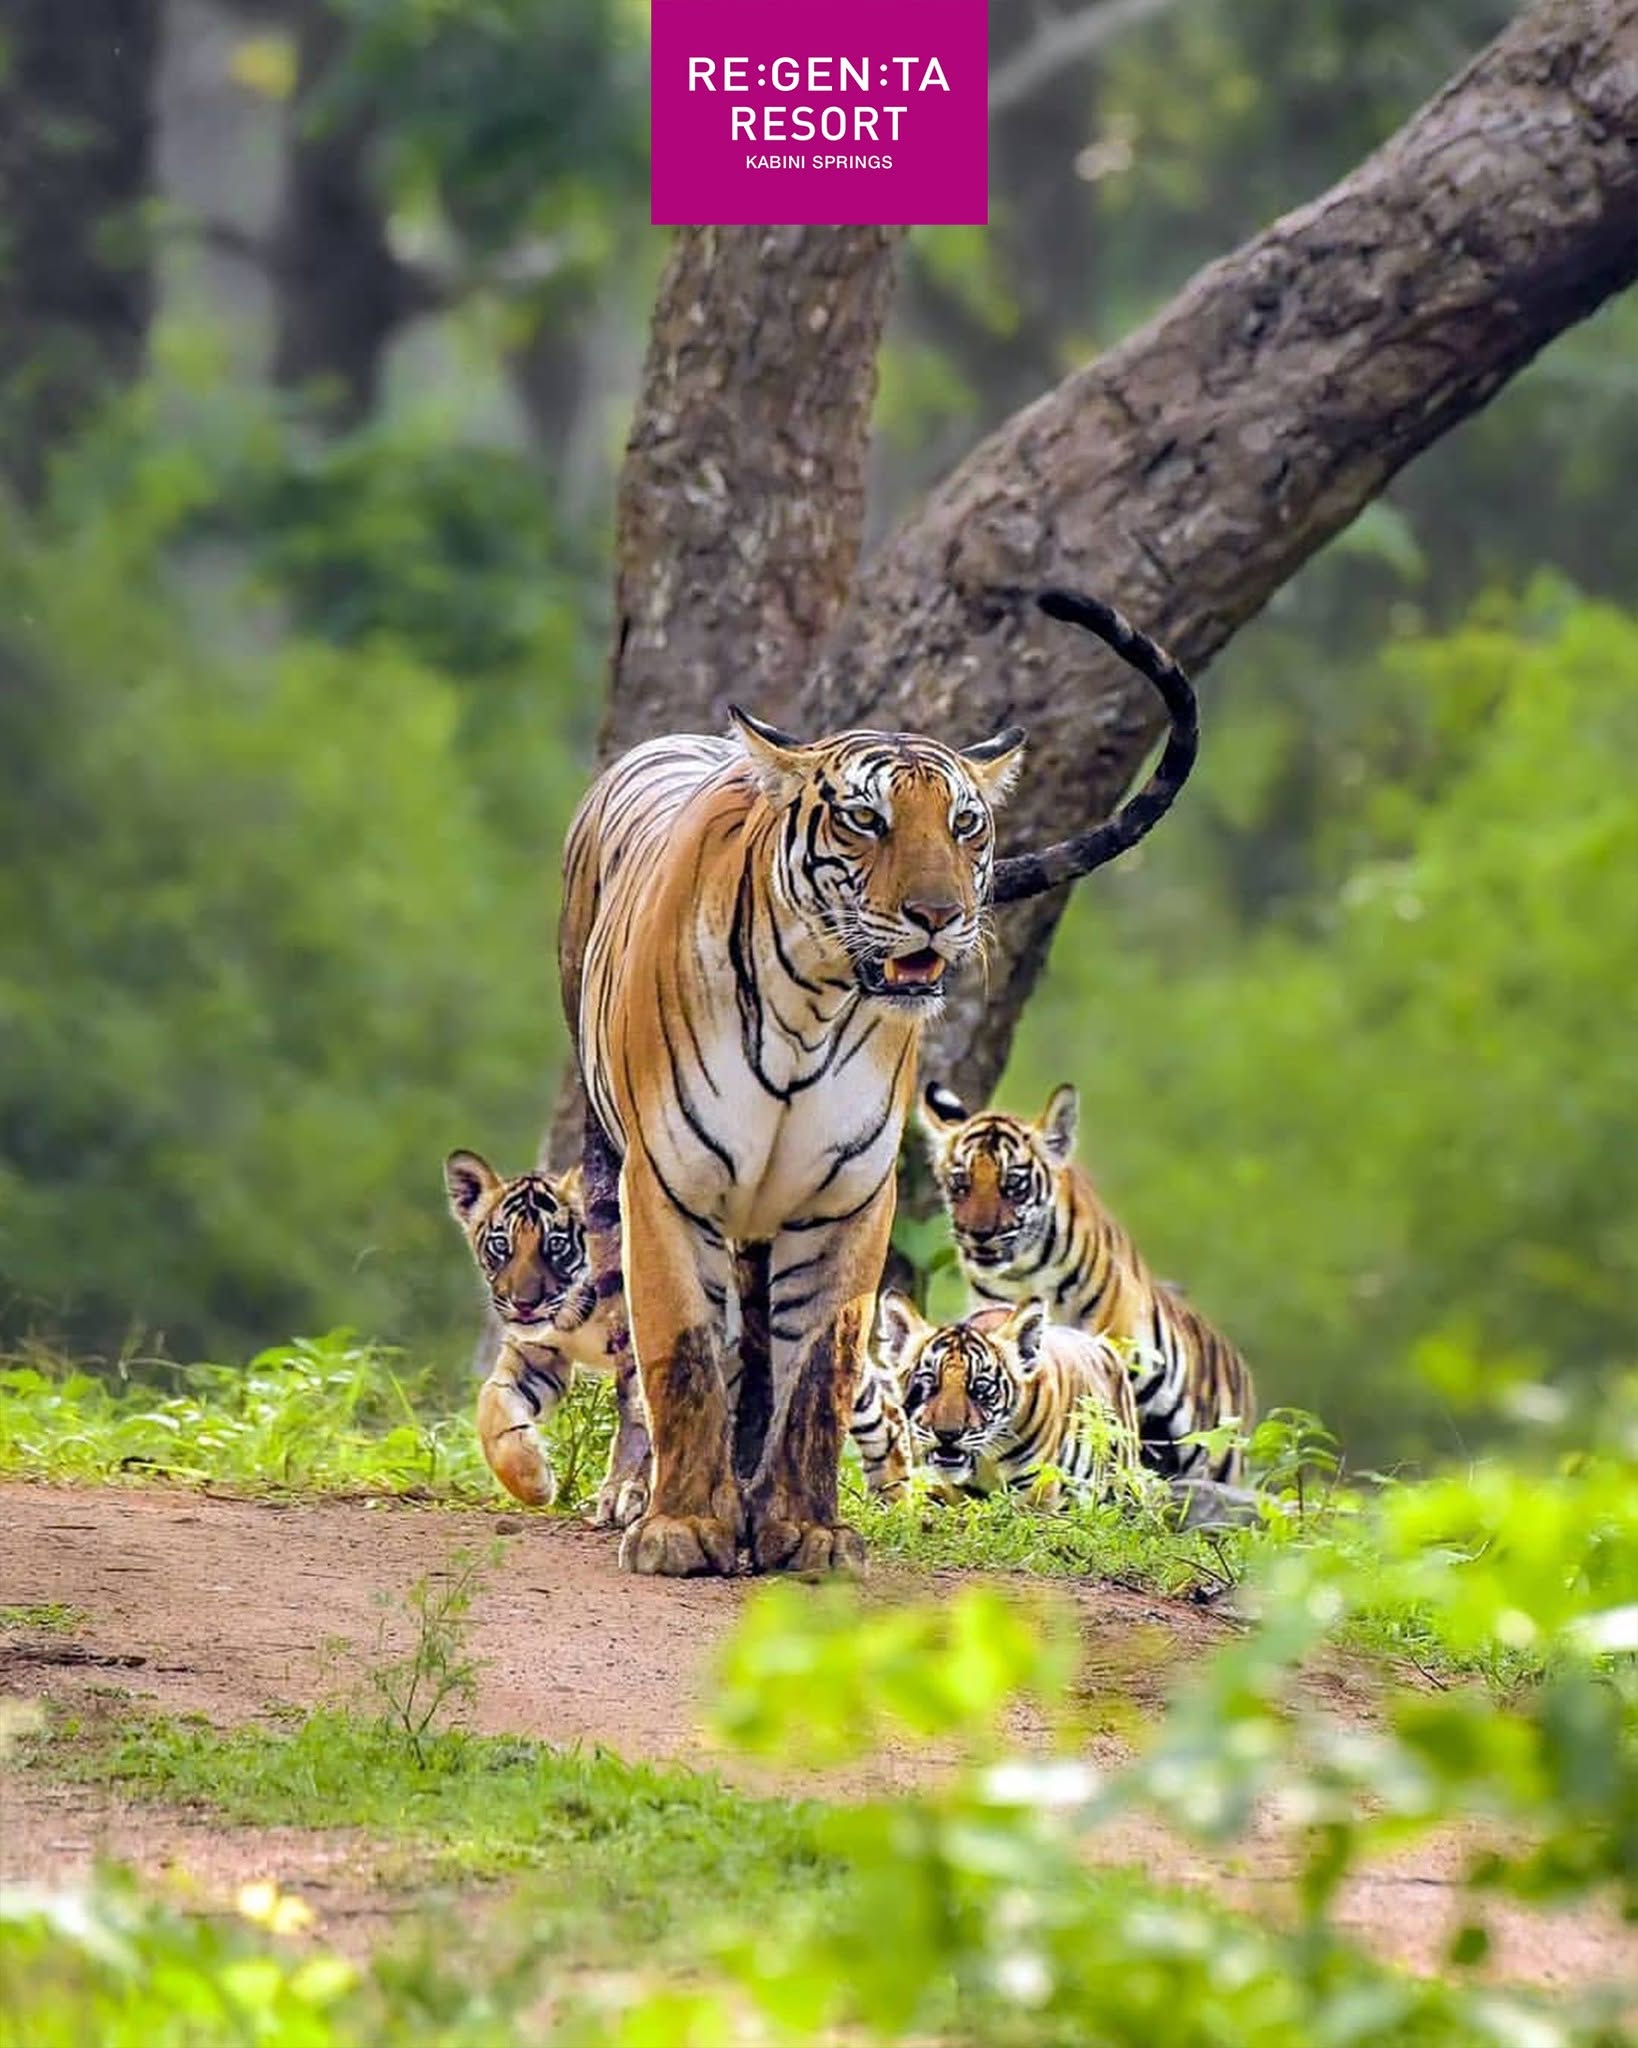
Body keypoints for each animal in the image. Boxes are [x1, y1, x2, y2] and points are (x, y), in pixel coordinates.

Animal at [446, 1151, 914, 1517]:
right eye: (501, 1246)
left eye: (556, 1244)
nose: (523, 1303)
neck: (573, 1313)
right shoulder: (536, 1353)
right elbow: (492, 1406)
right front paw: (534, 1480)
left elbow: (647, 1426)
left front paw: (627, 1496)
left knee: (881, 1407)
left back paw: (893, 1497)